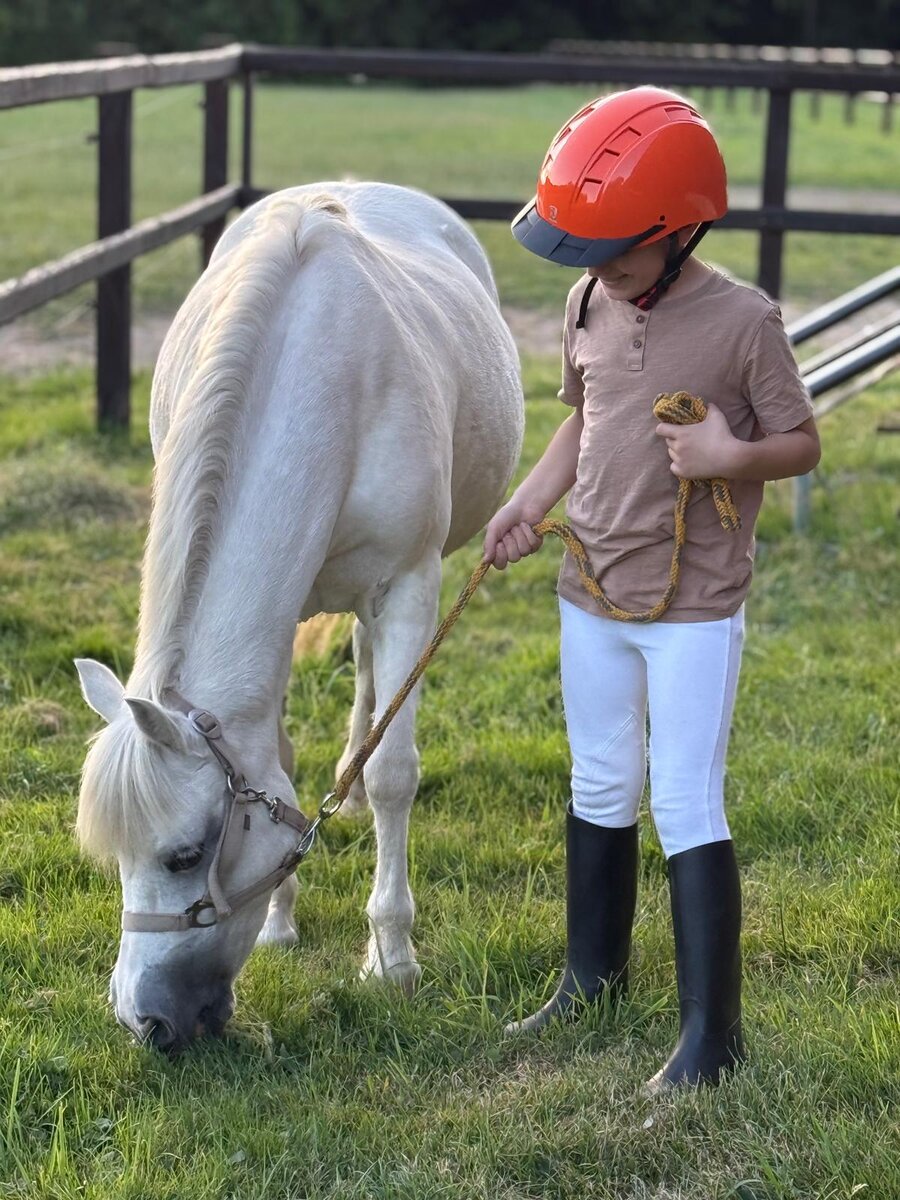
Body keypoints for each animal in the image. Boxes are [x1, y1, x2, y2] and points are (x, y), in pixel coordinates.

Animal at [74, 182, 524, 1052]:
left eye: (183, 856)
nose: (145, 1020)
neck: (326, 383)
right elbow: (277, 755)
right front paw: (281, 923)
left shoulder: (410, 587)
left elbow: (393, 772)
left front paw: (390, 959)